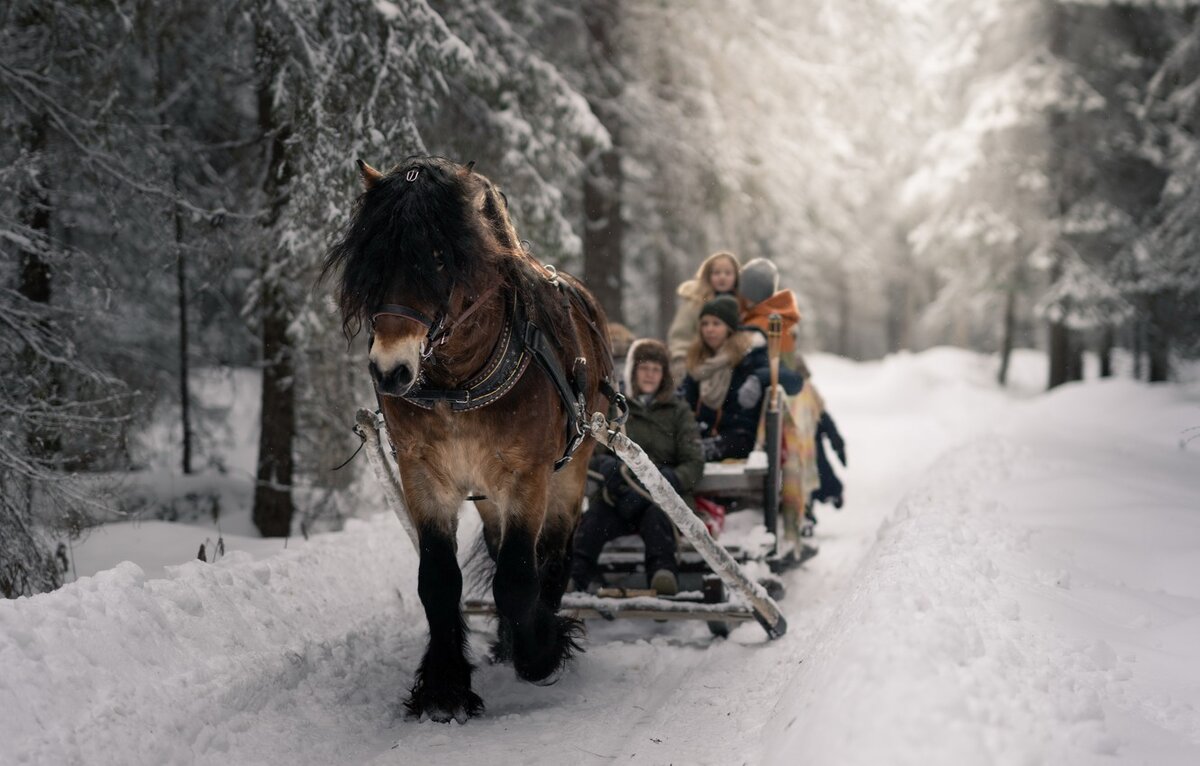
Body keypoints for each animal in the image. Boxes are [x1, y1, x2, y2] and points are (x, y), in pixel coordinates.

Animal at [324, 157, 614, 725]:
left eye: (438, 258)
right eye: (374, 256)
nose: (389, 371)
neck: (457, 384)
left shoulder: (526, 476)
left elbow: (517, 579)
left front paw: (540, 651)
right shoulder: (424, 475)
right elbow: (438, 580)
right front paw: (444, 687)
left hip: (571, 468)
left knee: (554, 553)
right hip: (484, 492)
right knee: (503, 547)